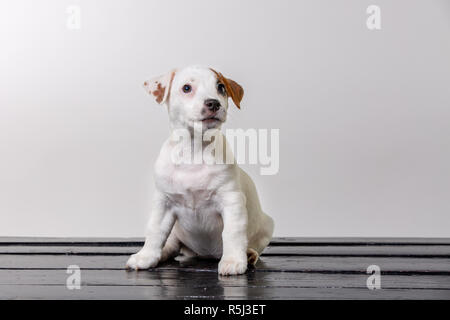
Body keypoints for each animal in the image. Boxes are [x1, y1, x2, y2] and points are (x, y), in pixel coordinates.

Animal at [125, 65, 274, 276]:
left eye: (221, 87)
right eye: (186, 88)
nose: (213, 103)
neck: (194, 151)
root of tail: (204, 254)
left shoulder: (231, 201)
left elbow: (233, 232)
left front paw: (233, 260)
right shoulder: (164, 203)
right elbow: (155, 231)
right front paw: (146, 256)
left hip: (267, 226)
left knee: (254, 244)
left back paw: (249, 254)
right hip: (177, 232)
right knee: (171, 245)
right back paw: (162, 253)